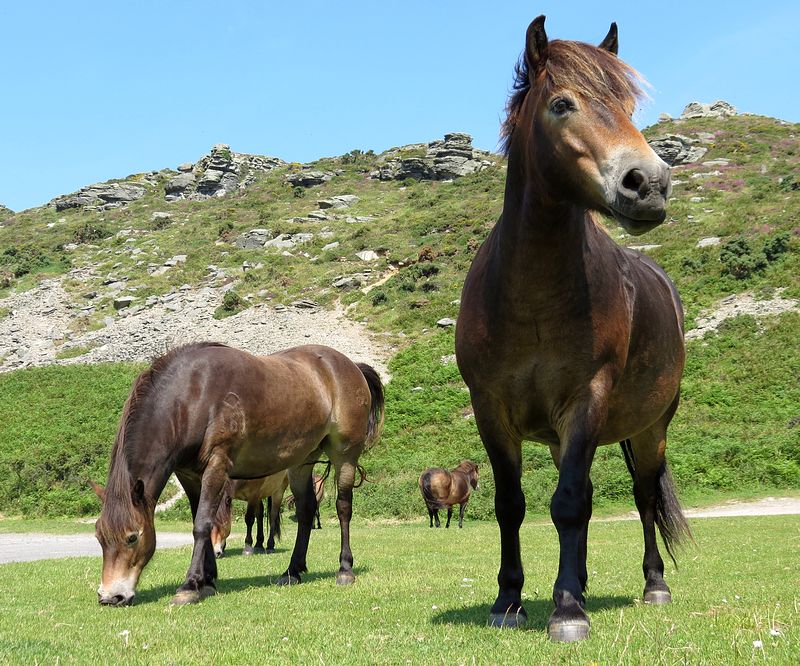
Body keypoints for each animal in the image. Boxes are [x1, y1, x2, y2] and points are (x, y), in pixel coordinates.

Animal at [90, 344, 384, 604]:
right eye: (99, 537)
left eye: (132, 537)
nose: (111, 596)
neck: (193, 396)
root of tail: (350, 366)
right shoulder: (190, 476)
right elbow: (204, 523)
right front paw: (207, 580)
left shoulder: (217, 465)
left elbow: (201, 524)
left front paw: (190, 586)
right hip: (301, 462)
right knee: (306, 510)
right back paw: (292, 571)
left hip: (345, 455)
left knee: (343, 507)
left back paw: (344, 569)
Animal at [454, 15, 692, 640]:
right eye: (563, 104)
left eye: (628, 105)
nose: (649, 184)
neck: (533, 301)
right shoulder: (491, 408)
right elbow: (513, 505)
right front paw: (508, 600)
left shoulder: (590, 398)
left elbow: (568, 505)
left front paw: (565, 612)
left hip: (650, 429)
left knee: (641, 498)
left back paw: (652, 586)